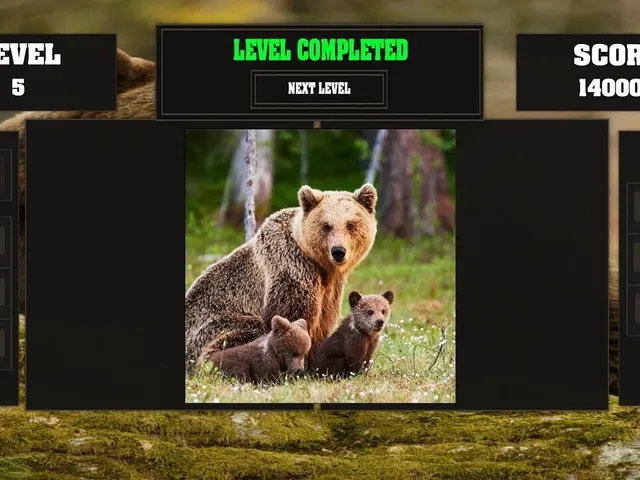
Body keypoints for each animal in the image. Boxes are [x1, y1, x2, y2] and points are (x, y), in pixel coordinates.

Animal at [185, 183, 379, 373]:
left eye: (351, 225)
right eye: (326, 225)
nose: (338, 251)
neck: (319, 265)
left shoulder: (330, 289)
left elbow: (323, 322)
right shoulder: (291, 270)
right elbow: (292, 317)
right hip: (211, 325)